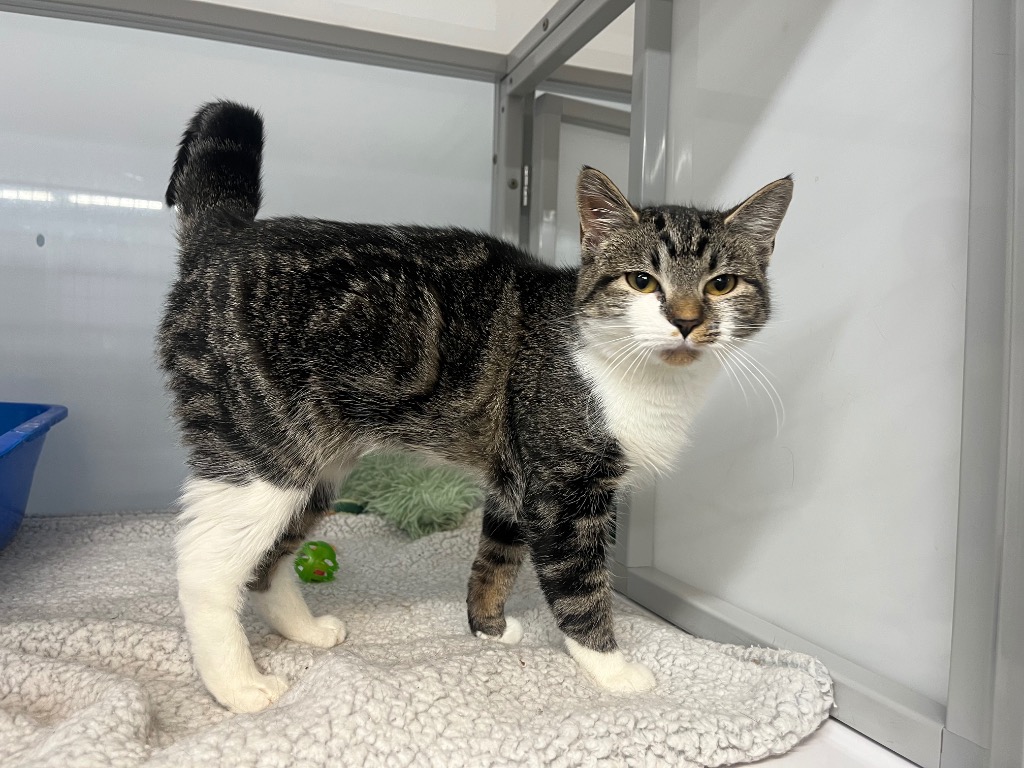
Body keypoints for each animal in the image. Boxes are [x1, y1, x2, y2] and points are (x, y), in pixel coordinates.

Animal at [158, 100, 792, 713]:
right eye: (642, 281)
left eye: (721, 284)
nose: (686, 320)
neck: (644, 378)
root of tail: (222, 238)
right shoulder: (563, 490)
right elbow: (579, 585)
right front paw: (612, 670)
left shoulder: (516, 474)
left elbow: (497, 556)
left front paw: (486, 627)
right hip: (261, 450)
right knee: (204, 566)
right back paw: (238, 686)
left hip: (319, 464)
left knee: (268, 560)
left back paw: (305, 630)